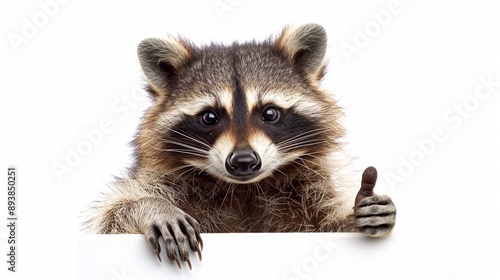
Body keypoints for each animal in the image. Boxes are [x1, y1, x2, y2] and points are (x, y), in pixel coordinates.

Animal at [88, 23, 396, 270]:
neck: (243, 189)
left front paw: (354, 215)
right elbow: (110, 220)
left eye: (269, 113)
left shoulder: (314, 184)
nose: (244, 161)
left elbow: (327, 226)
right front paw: (151, 207)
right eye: (210, 117)